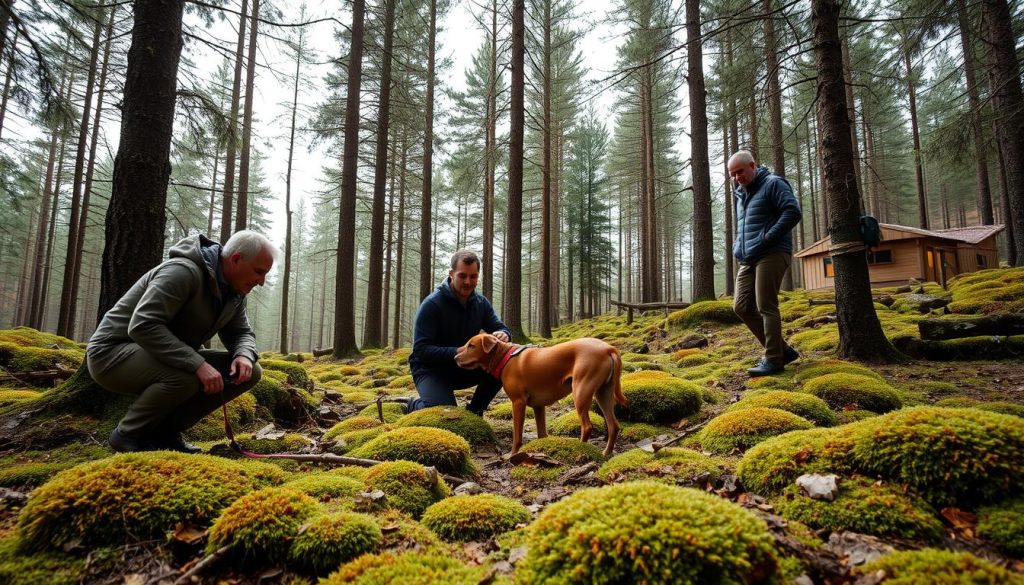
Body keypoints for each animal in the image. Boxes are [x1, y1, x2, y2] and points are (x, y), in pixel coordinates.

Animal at [454, 333, 622, 456]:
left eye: (471, 345)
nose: (455, 357)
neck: (506, 357)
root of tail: (608, 348)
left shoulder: (518, 402)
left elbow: (517, 436)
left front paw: (513, 455)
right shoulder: (538, 406)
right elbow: (542, 433)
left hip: (581, 392)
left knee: (587, 426)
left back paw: (581, 449)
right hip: (603, 394)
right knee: (613, 425)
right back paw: (606, 452)